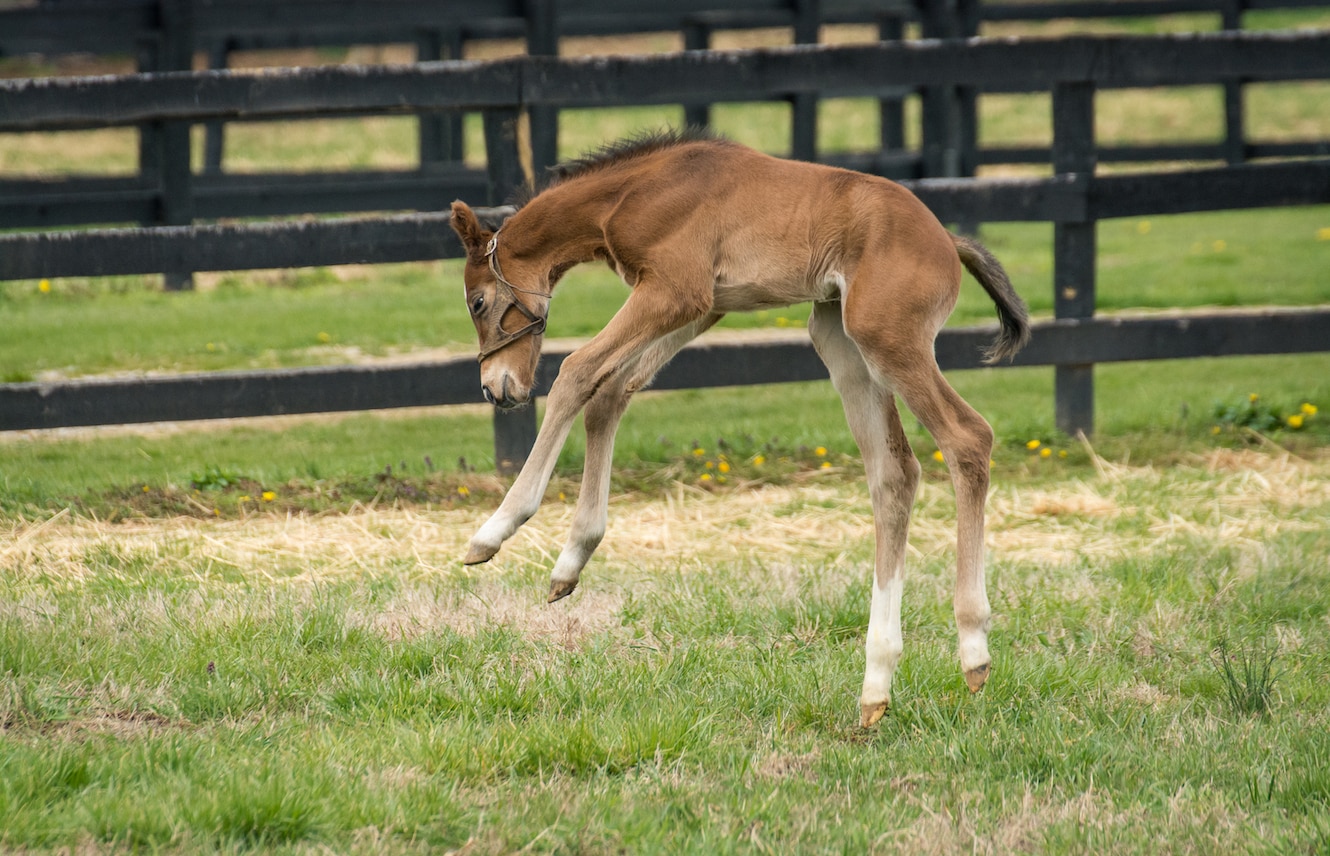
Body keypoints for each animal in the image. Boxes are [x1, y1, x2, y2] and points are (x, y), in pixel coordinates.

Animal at [446, 130, 1026, 723]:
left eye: (478, 302)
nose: (496, 389)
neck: (634, 191)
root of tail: (947, 241)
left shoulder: (676, 289)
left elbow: (575, 373)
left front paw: (493, 530)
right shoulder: (704, 305)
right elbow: (610, 392)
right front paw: (571, 560)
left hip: (885, 337)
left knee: (967, 437)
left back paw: (972, 650)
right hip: (837, 337)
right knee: (895, 474)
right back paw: (875, 686)